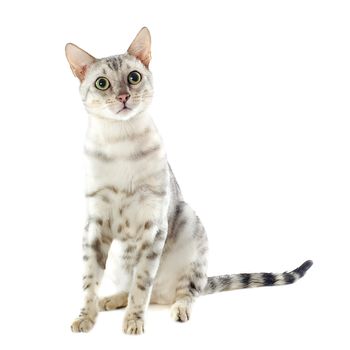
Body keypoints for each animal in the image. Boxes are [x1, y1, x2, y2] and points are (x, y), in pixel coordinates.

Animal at [65, 26, 312, 334]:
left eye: (133, 77)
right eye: (102, 83)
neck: (120, 142)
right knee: (137, 289)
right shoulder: (95, 225)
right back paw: (110, 300)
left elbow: (142, 283)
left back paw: (178, 308)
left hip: (189, 221)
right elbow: (89, 282)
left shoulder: (153, 224)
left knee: (185, 291)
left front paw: (134, 321)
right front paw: (86, 317)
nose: (122, 96)